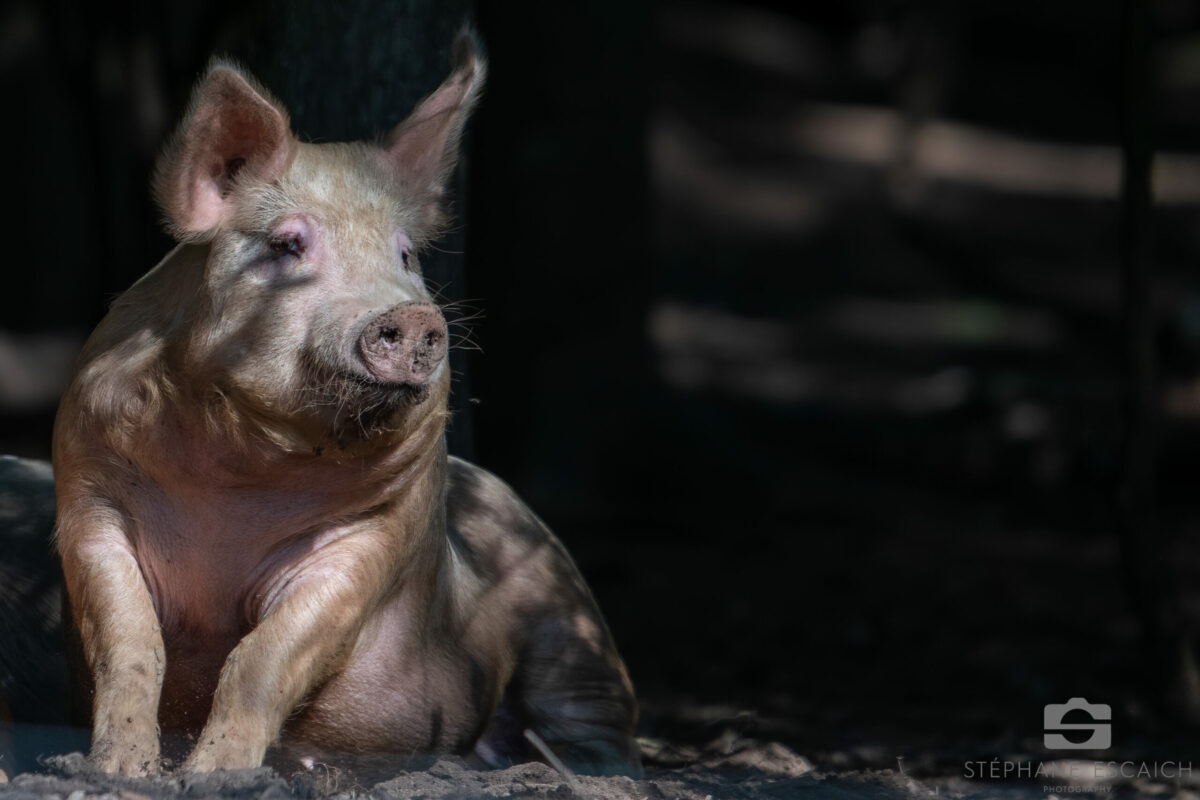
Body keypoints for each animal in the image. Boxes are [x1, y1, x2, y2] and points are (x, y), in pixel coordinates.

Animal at [52, 34, 643, 777]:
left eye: (407, 256)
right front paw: (122, 771)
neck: (235, 484)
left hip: (566, 615)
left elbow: (261, 658)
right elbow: (130, 644)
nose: (413, 316)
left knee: (594, 713)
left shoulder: (372, 534)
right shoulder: (89, 495)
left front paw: (217, 775)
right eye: (287, 245)